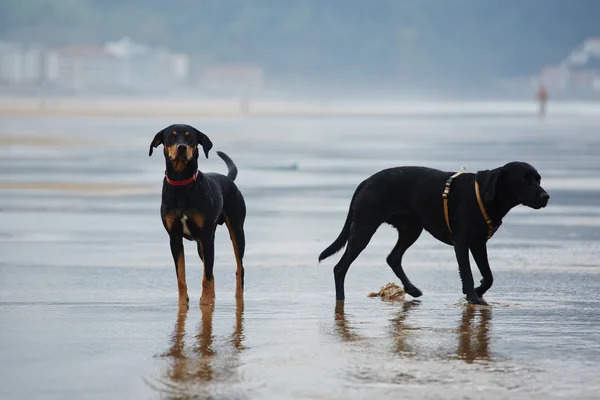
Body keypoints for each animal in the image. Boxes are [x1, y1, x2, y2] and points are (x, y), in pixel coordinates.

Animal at [150, 123, 246, 308]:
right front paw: (183, 303)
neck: (181, 183)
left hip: (236, 230)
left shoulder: (207, 236)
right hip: (200, 245)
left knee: (239, 268)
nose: (181, 147)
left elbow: (206, 276)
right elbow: (181, 276)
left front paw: (206, 303)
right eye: (171, 137)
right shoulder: (174, 237)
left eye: (190, 138)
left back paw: (237, 298)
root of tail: (229, 180)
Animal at [318, 161, 548, 304]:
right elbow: (467, 273)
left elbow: (489, 276)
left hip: (411, 228)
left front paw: (477, 292)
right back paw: (341, 300)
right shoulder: (462, 242)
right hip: (364, 229)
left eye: (538, 179)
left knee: (393, 257)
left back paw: (411, 289)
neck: (485, 194)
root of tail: (366, 181)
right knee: (340, 268)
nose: (546, 197)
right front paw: (473, 298)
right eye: (524, 180)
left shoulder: (479, 242)